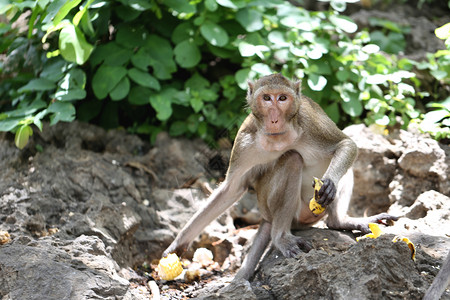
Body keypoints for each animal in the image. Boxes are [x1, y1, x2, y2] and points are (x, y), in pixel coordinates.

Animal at [163, 74, 398, 280]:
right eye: (267, 98)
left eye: (282, 98)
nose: (274, 118)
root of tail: (267, 218)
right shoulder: (244, 142)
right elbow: (231, 189)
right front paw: (177, 244)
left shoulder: (311, 121)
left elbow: (345, 144)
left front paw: (329, 183)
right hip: (282, 210)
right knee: (292, 159)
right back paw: (281, 238)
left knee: (340, 169)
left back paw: (340, 221)